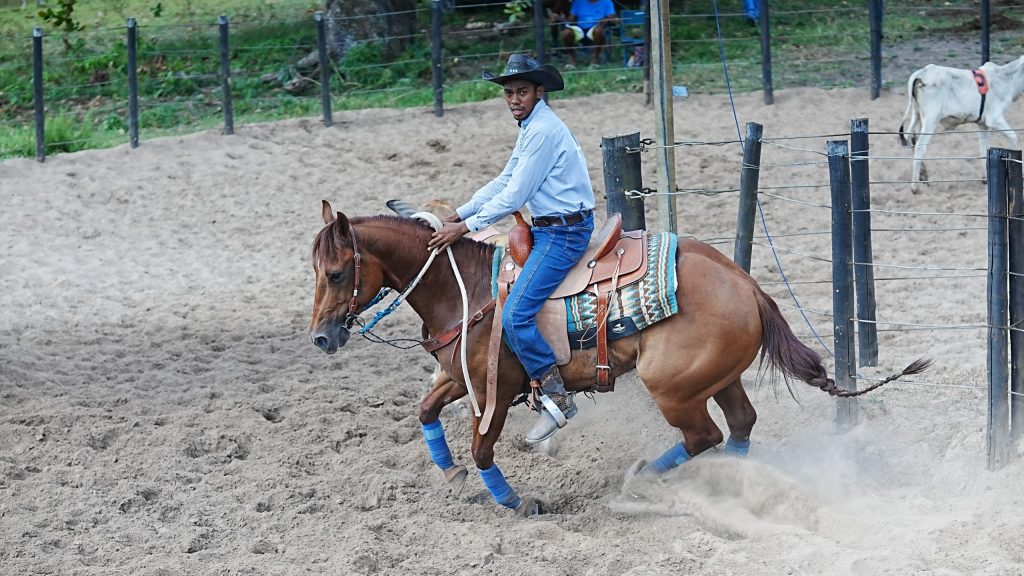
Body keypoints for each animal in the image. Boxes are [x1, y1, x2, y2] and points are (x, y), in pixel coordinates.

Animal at [897, 56, 1024, 193]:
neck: (1006, 78)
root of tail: (922, 72)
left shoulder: (983, 124)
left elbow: (984, 148)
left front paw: (985, 178)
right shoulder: (994, 118)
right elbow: (1014, 137)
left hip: (917, 114)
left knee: (910, 137)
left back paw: (924, 176)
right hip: (931, 119)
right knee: (920, 146)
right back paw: (915, 187)